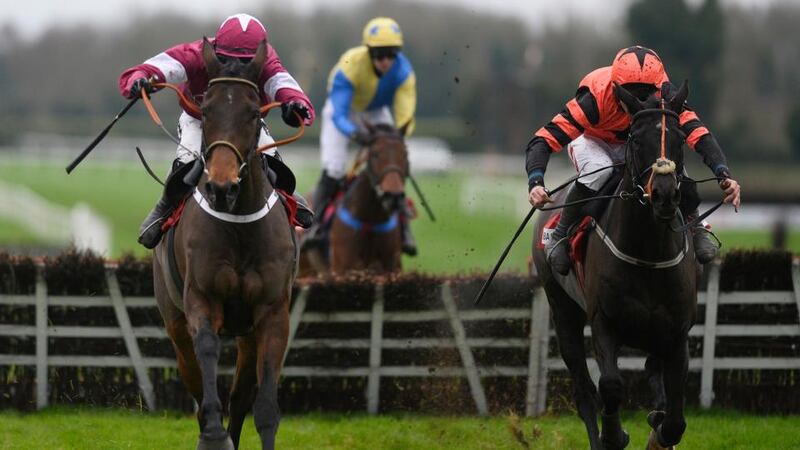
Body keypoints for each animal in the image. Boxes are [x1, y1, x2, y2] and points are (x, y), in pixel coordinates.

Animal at [152, 39, 296, 450]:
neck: (240, 225)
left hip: (247, 335)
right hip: (174, 321)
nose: (221, 186)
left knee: (242, 394)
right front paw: (214, 435)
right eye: (207, 109)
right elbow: (207, 353)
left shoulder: (272, 312)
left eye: (253, 113)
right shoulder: (201, 299)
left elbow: (264, 406)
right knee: (196, 381)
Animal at [536, 81, 696, 450]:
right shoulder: (603, 321)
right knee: (584, 390)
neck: (648, 255)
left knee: (652, 368)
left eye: (680, 139)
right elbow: (609, 385)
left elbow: (675, 417)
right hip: (562, 309)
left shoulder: (677, 331)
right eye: (636, 139)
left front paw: (659, 430)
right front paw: (614, 433)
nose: (664, 194)